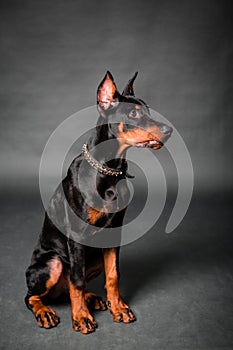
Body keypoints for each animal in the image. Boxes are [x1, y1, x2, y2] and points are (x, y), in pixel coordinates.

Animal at [25, 71, 173, 334]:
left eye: (148, 110)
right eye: (133, 114)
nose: (169, 130)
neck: (108, 169)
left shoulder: (115, 230)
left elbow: (113, 275)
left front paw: (119, 308)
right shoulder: (76, 235)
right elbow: (77, 280)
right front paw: (81, 317)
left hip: (92, 258)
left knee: (68, 289)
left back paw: (91, 299)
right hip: (52, 262)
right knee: (33, 295)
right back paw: (46, 312)